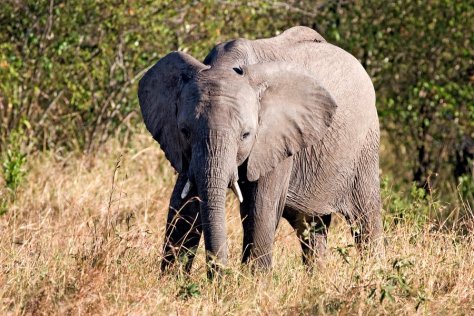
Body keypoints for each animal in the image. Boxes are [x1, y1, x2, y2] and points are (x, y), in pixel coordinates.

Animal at [139, 26, 384, 274]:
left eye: (246, 135)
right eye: (184, 131)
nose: (219, 276)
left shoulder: (277, 139)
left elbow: (260, 209)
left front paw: (254, 280)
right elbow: (182, 206)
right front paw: (173, 280)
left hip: (364, 147)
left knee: (366, 220)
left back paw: (374, 271)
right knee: (311, 227)